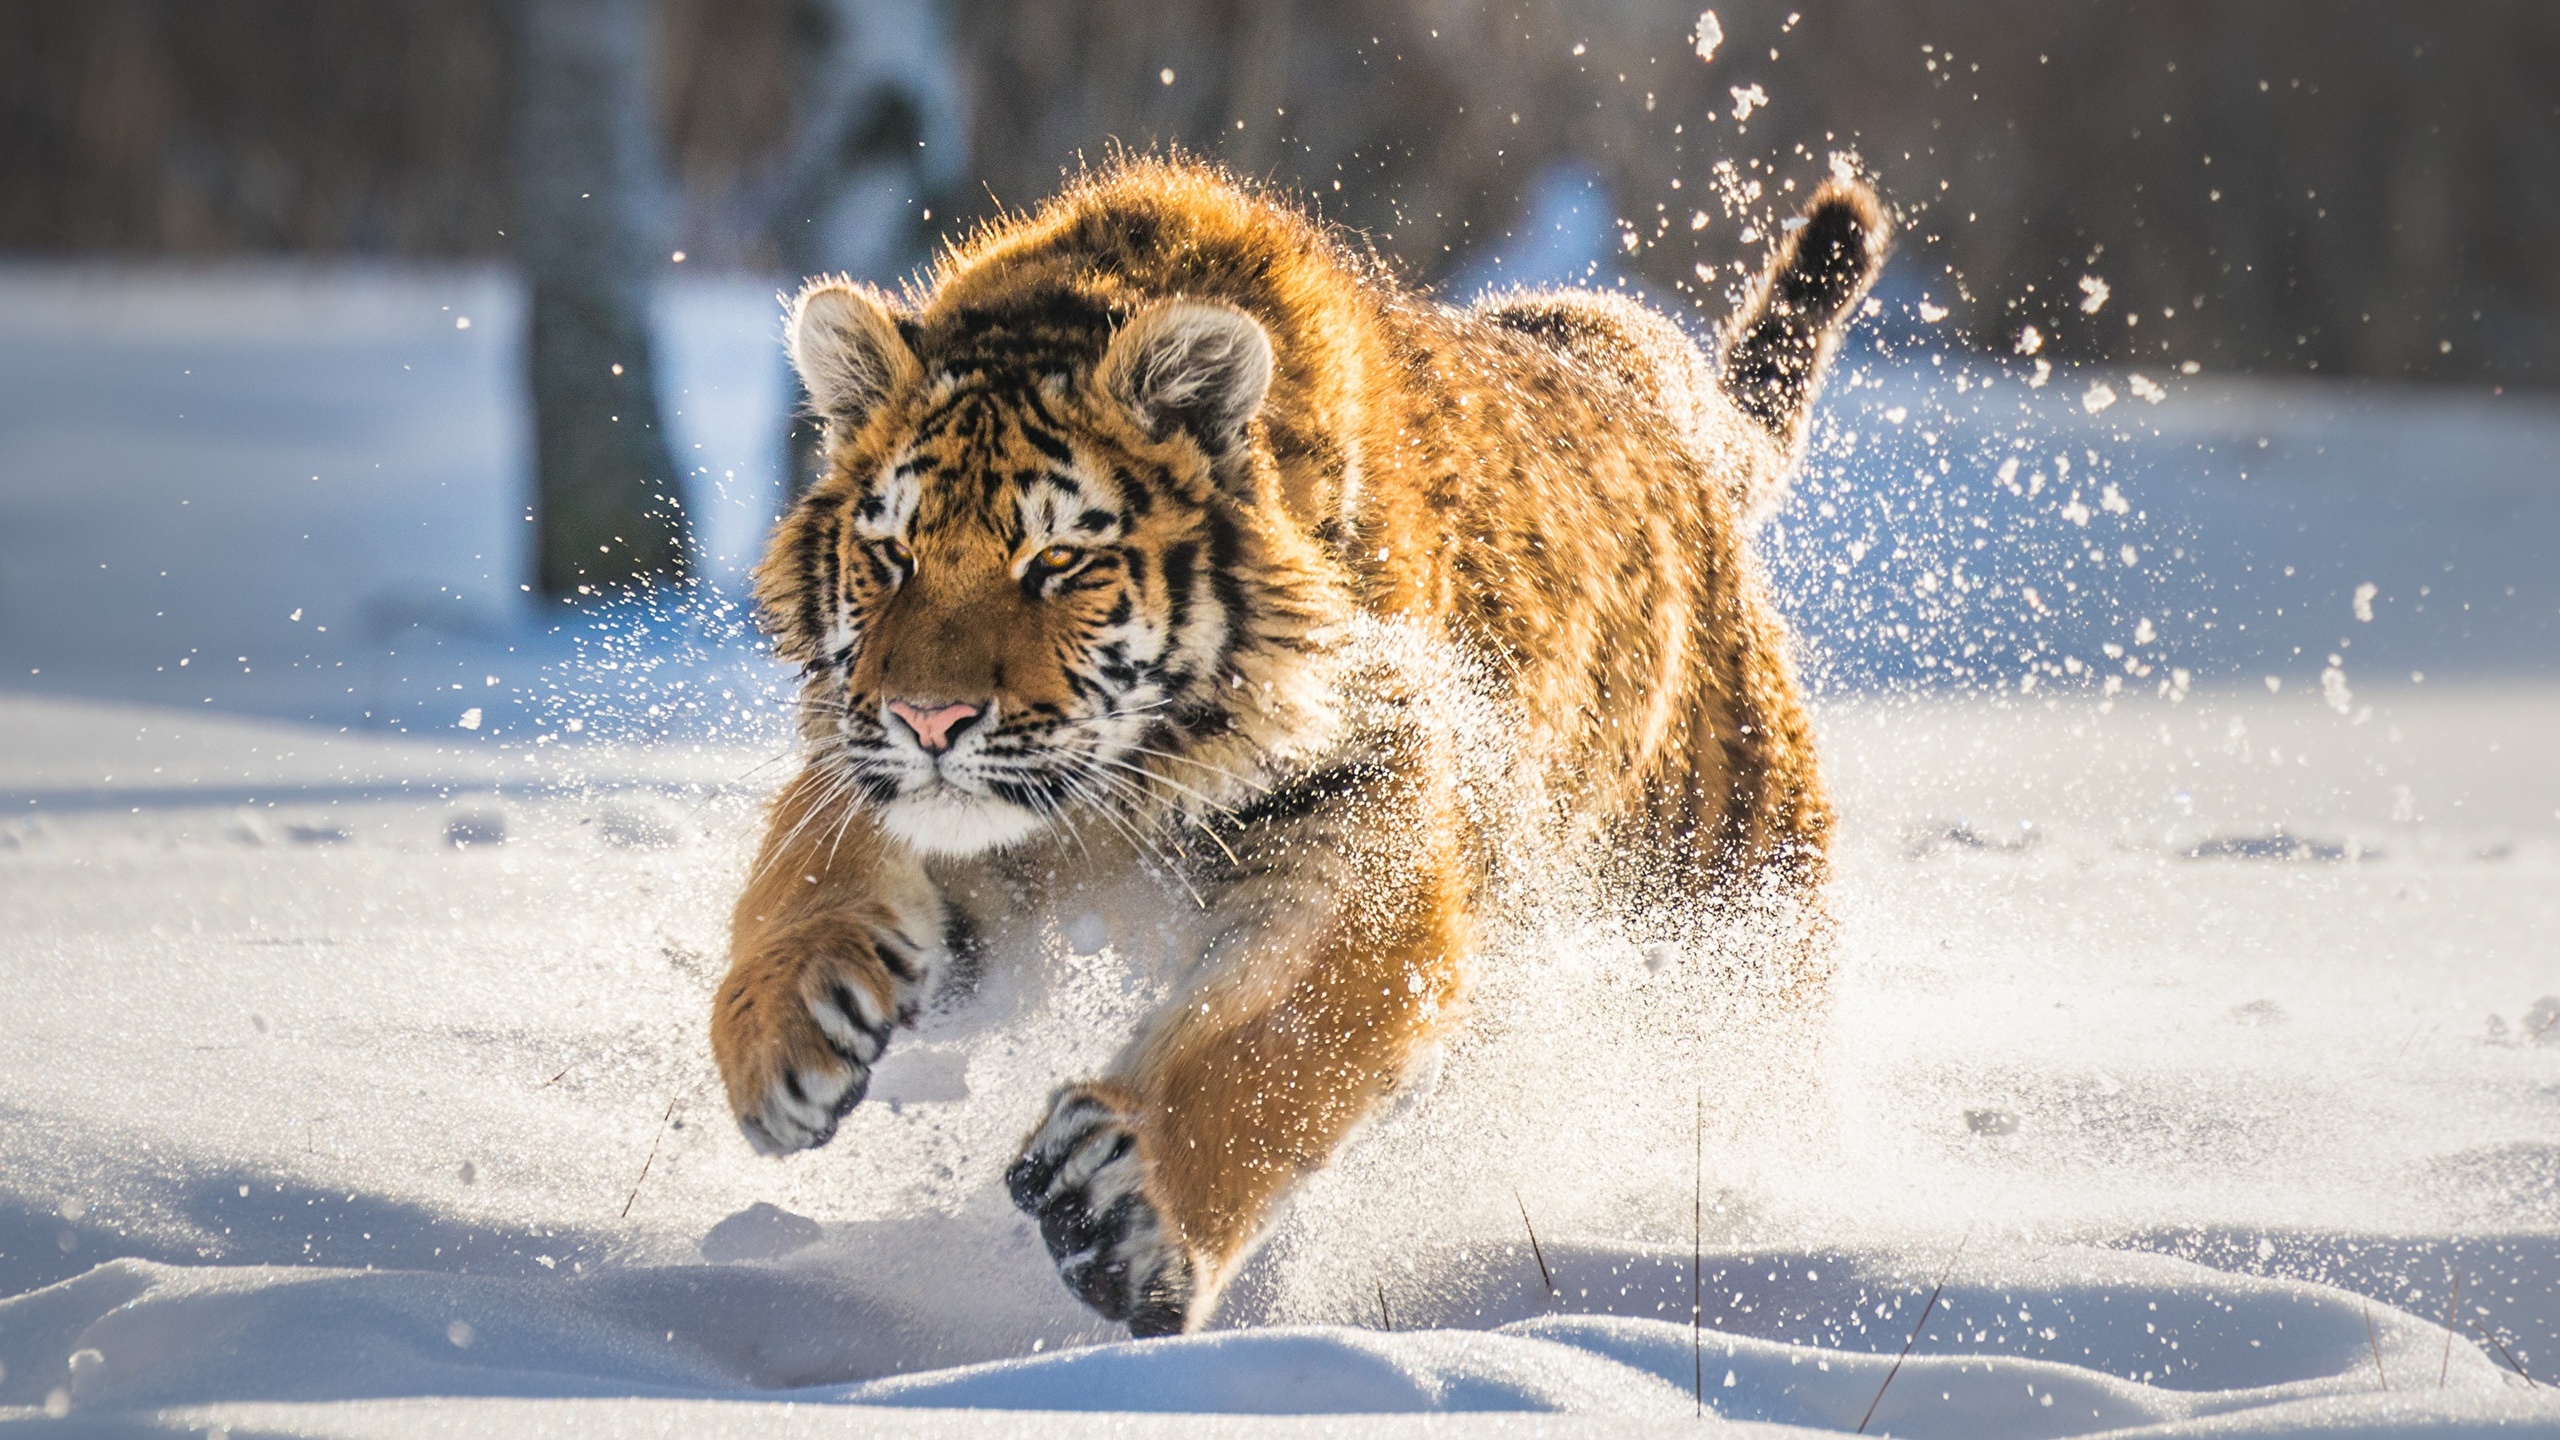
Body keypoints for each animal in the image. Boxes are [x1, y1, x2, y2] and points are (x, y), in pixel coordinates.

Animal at [709, 158, 1887, 1337]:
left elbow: (1272, 1046)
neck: (1122, 788)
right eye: (890, 554)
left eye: (1057, 562)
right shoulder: (908, 785)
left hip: (1729, 913)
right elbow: (805, 864)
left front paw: (1123, 1211)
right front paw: (780, 1036)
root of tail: (1657, 395)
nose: (929, 720)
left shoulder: (1365, 843)